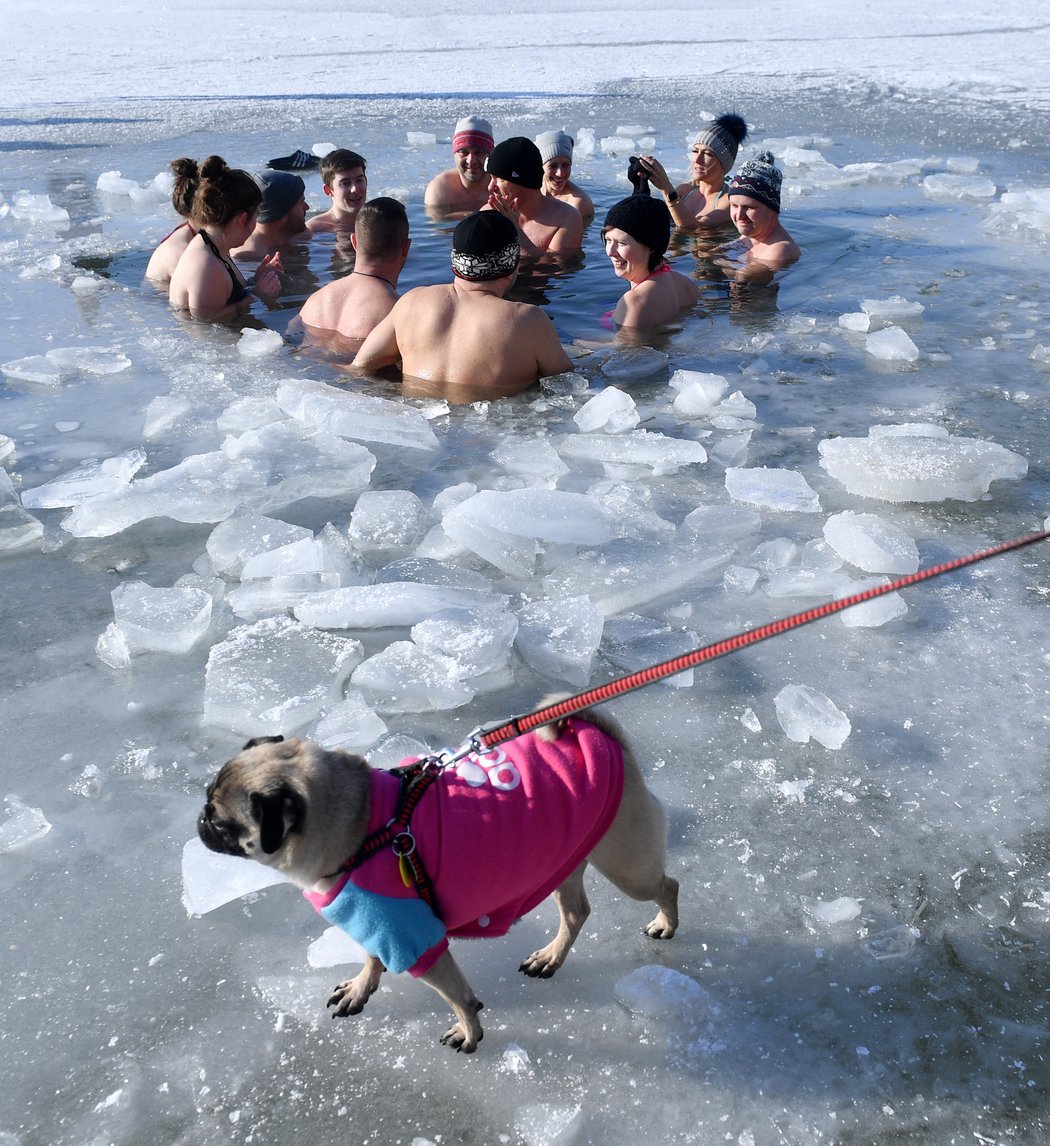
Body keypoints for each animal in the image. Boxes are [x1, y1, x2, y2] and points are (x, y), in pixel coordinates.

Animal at [199, 705, 678, 1054]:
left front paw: (468, 1031)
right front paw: (361, 988)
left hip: (626, 865)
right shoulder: (379, 925)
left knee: (665, 886)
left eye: (222, 824)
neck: (365, 825)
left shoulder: (416, 941)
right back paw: (550, 958)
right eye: (208, 802)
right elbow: (371, 958)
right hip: (566, 859)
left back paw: (665, 924)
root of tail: (596, 733)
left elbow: (458, 997)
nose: (200, 821)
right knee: (577, 913)